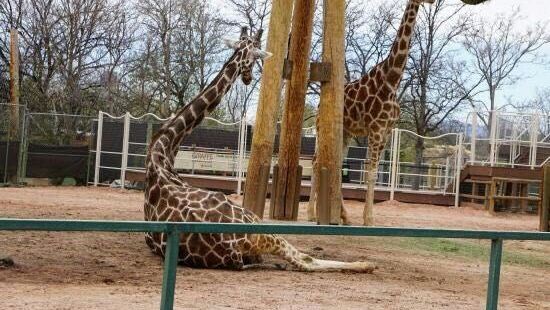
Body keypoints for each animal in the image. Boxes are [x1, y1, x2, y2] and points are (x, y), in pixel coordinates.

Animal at [143, 27, 376, 274]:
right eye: (255, 58)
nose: (248, 78)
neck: (163, 149)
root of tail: (231, 247)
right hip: (258, 225)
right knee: (304, 260)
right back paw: (367, 264)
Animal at [308, 0, 434, 225]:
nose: (433, 1)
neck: (392, 80)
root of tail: (319, 106)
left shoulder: (386, 132)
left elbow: (373, 172)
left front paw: (365, 217)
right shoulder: (375, 129)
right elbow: (371, 172)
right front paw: (369, 219)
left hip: (345, 133)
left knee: (335, 165)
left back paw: (344, 216)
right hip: (323, 129)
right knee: (315, 162)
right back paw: (312, 213)